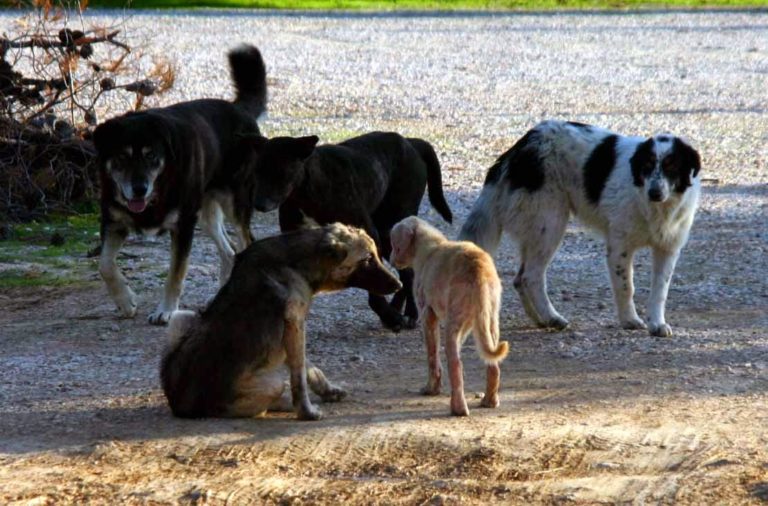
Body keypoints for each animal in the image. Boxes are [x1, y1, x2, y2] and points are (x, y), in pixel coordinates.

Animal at [94, 45, 268, 326]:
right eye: (121, 157)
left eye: (151, 156)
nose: (139, 189)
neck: (158, 189)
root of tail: (239, 109)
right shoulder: (113, 222)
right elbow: (105, 265)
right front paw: (125, 301)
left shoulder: (183, 226)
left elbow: (175, 274)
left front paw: (165, 311)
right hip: (206, 213)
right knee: (229, 252)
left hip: (234, 203)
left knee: (245, 242)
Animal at [162, 223, 402, 422]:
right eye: (367, 259)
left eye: (376, 256)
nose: (399, 285)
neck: (297, 263)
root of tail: (180, 405)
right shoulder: (295, 325)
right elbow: (299, 376)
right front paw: (306, 412)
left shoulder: (293, 331)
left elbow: (309, 368)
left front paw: (327, 391)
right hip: (272, 384)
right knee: (263, 404)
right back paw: (284, 404)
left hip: (181, 317)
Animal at [390, 215, 510, 418]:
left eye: (394, 244)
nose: (391, 260)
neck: (430, 246)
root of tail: (479, 270)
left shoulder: (428, 315)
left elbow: (432, 357)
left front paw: (431, 389)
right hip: (490, 322)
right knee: (493, 365)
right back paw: (489, 401)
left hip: (453, 325)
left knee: (456, 365)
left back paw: (458, 408)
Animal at [460, 119, 700, 336]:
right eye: (647, 166)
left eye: (672, 166)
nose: (655, 192)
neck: (655, 207)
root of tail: (521, 146)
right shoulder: (619, 247)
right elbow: (626, 287)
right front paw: (629, 320)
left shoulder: (667, 249)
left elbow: (660, 290)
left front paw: (657, 324)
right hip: (550, 223)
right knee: (530, 276)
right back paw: (552, 317)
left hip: (537, 229)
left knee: (519, 279)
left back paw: (540, 320)